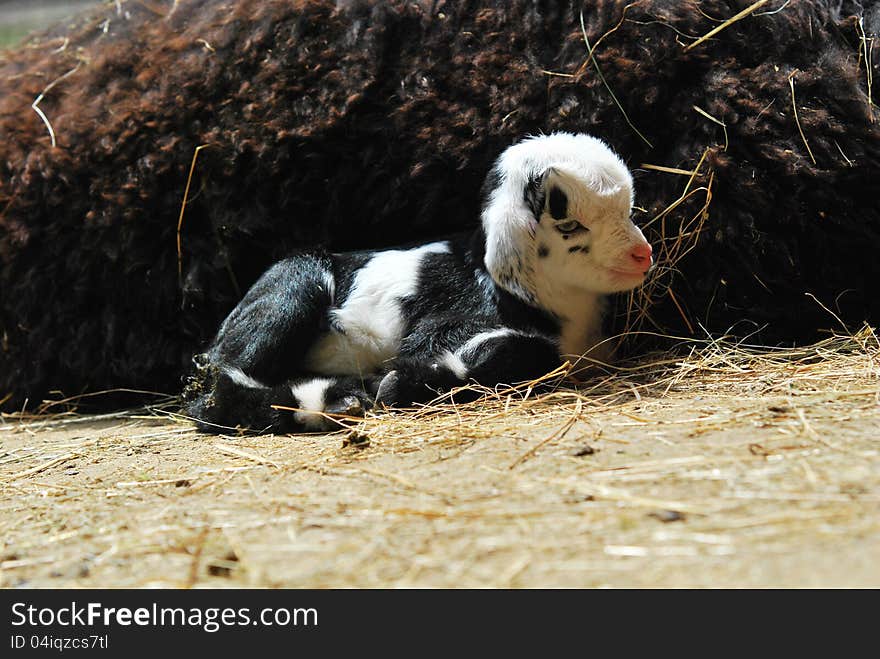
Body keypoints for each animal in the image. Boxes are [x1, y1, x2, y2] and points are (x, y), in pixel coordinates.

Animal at [184, 133, 652, 434]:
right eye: (570, 224)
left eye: (628, 210)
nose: (642, 255)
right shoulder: (450, 323)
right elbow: (525, 352)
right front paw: (396, 383)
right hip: (294, 286)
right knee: (216, 398)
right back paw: (333, 403)